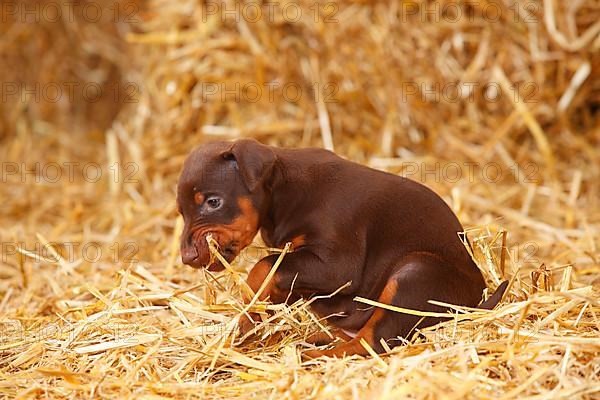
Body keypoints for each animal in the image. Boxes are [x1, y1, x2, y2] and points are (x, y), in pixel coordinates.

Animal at [176, 139, 508, 358]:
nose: (187, 257)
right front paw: (254, 320)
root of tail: (475, 301)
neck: (284, 193)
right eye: (181, 211)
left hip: (415, 272)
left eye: (213, 201)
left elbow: (263, 267)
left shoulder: (335, 266)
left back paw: (311, 356)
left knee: (371, 342)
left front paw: (247, 318)